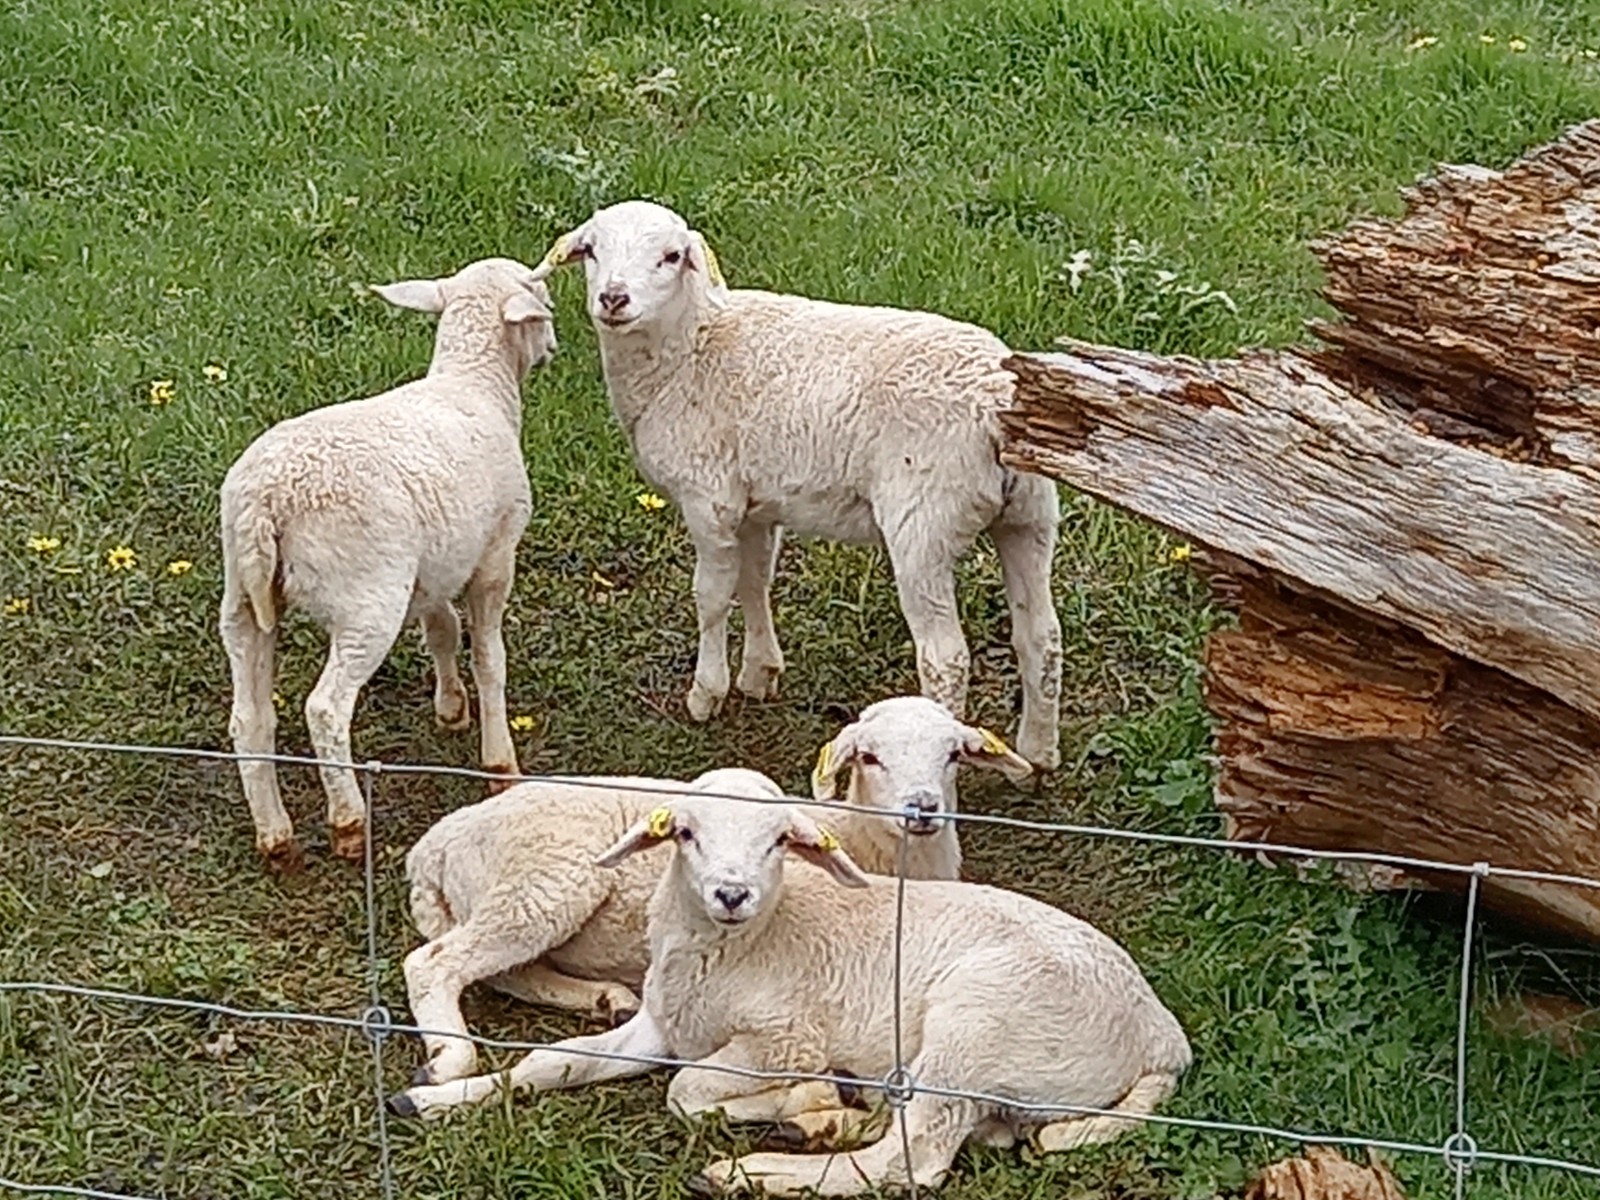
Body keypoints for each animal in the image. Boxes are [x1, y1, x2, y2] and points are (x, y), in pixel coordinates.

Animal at [218, 257, 557, 869]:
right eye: (543, 303)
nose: (553, 348)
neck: (474, 382)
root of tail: (268, 500)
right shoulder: (496, 554)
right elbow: (489, 657)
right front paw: (499, 761)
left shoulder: (436, 563)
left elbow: (443, 630)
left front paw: (450, 708)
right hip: (365, 599)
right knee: (325, 709)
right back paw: (348, 821)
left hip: (243, 594)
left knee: (249, 718)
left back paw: (275, 834)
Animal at [387, 772, 1192, 1199]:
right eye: (684, 832)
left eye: (779, 839)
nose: (731, 894)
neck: (739, 949)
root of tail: (1164, 1039)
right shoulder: (662, 1022)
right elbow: (551, 1062)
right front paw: (432, 1099)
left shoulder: (784, 1037)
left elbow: (688, 1091)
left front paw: (802, 1103)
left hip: (978, 1025)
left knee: (911, 1159)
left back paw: (755, 1165)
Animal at [398, 695, 1035, 1088]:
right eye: (870, 757)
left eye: (952, 754)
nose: (922, 809)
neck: (865, 838)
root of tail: (435, 845)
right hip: (546, 881)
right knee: (435, 963)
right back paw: (450, 1058)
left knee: (510, 970)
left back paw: (602, 998)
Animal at [527, 200, 1064, 770]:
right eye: (591, 249)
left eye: (671, 257)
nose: (613, 298)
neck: (689, 349)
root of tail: (996, 400)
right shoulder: (756, 503)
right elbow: (754, 581)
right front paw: (759, 672)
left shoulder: (708, 498)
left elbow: (711, 595)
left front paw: (706, 693)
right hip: (1030, 515)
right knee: (1042, 636)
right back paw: (1038, 752)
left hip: (924, 523)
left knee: (946, 658)